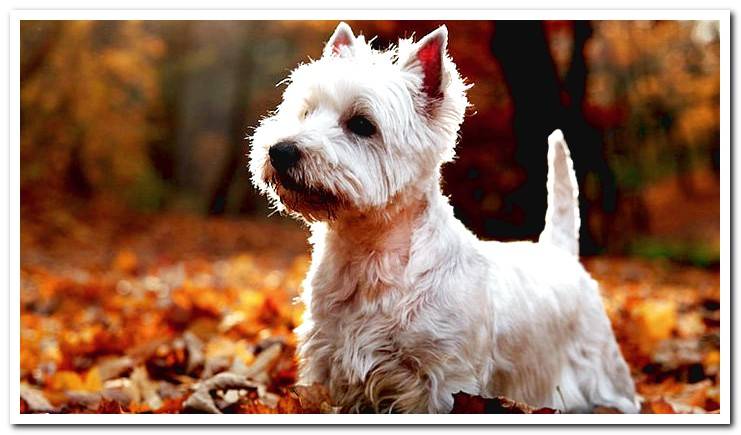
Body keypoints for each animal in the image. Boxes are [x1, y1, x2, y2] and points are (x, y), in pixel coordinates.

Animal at [249, 21, 636, 416]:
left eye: (361, 124)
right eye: (305, 112)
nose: (281, 151)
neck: (369, 257)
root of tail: (559, 251)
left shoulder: (444, 377)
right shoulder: (327, 359)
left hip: (599, 359)